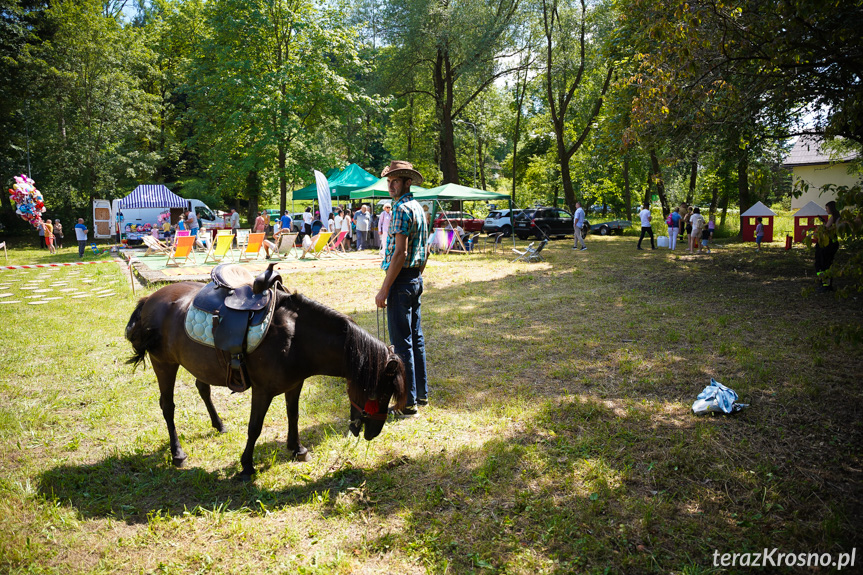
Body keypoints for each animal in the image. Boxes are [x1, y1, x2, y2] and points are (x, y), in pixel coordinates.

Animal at [124, 282, 408, 482]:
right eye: (379, 392)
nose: (374, 432)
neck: (296, 338)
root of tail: (150, 298)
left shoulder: (294, 385)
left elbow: (293, 416)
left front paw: (297, 448)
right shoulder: (263, 391)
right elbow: (255, 428)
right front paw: (246, 466)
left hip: (198, 364)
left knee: (202, 388)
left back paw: (218, 424)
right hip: (164, 364)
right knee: (168, 407)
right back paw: (178, 453)